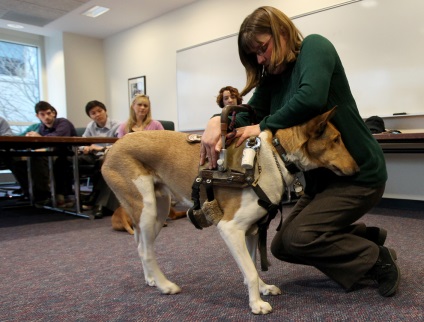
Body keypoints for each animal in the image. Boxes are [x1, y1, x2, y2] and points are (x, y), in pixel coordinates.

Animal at [102, 107, 358, 314]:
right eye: (336, 140)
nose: (357, 169)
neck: (275, 156)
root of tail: (112, 148)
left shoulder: (253, 230)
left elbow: (252, 265)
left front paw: (263, 289)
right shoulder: (230, 228)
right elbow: (250, 271)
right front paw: (256, 305)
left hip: (158, 211)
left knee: (141, 246)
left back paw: (151, 280)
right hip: (147, 209)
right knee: (146, 251)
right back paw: (166, 286)